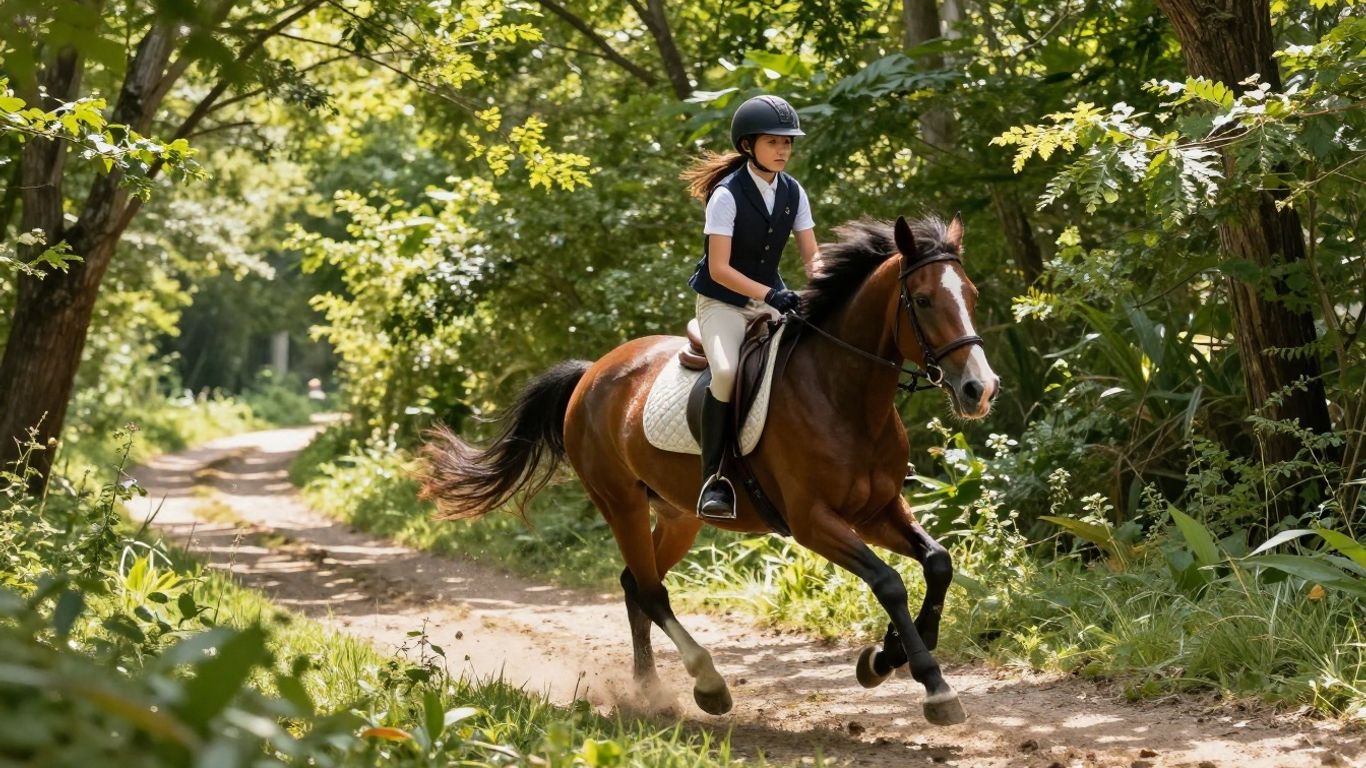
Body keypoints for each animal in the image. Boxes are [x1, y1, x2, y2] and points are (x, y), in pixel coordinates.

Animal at [418, 214, 1000, 726]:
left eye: (970, 296)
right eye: (922, 300)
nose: (980, 389)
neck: (844, 397)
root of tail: (592, 373)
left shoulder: (878, 510)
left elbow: (938, 564)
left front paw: (886, 657)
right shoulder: (813, 522)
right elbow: (889, 582)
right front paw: (929, 682)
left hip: (679, 516)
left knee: (635, 583)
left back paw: (649, 689)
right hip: (620, 503)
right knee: (651, 590)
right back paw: (707, 684)